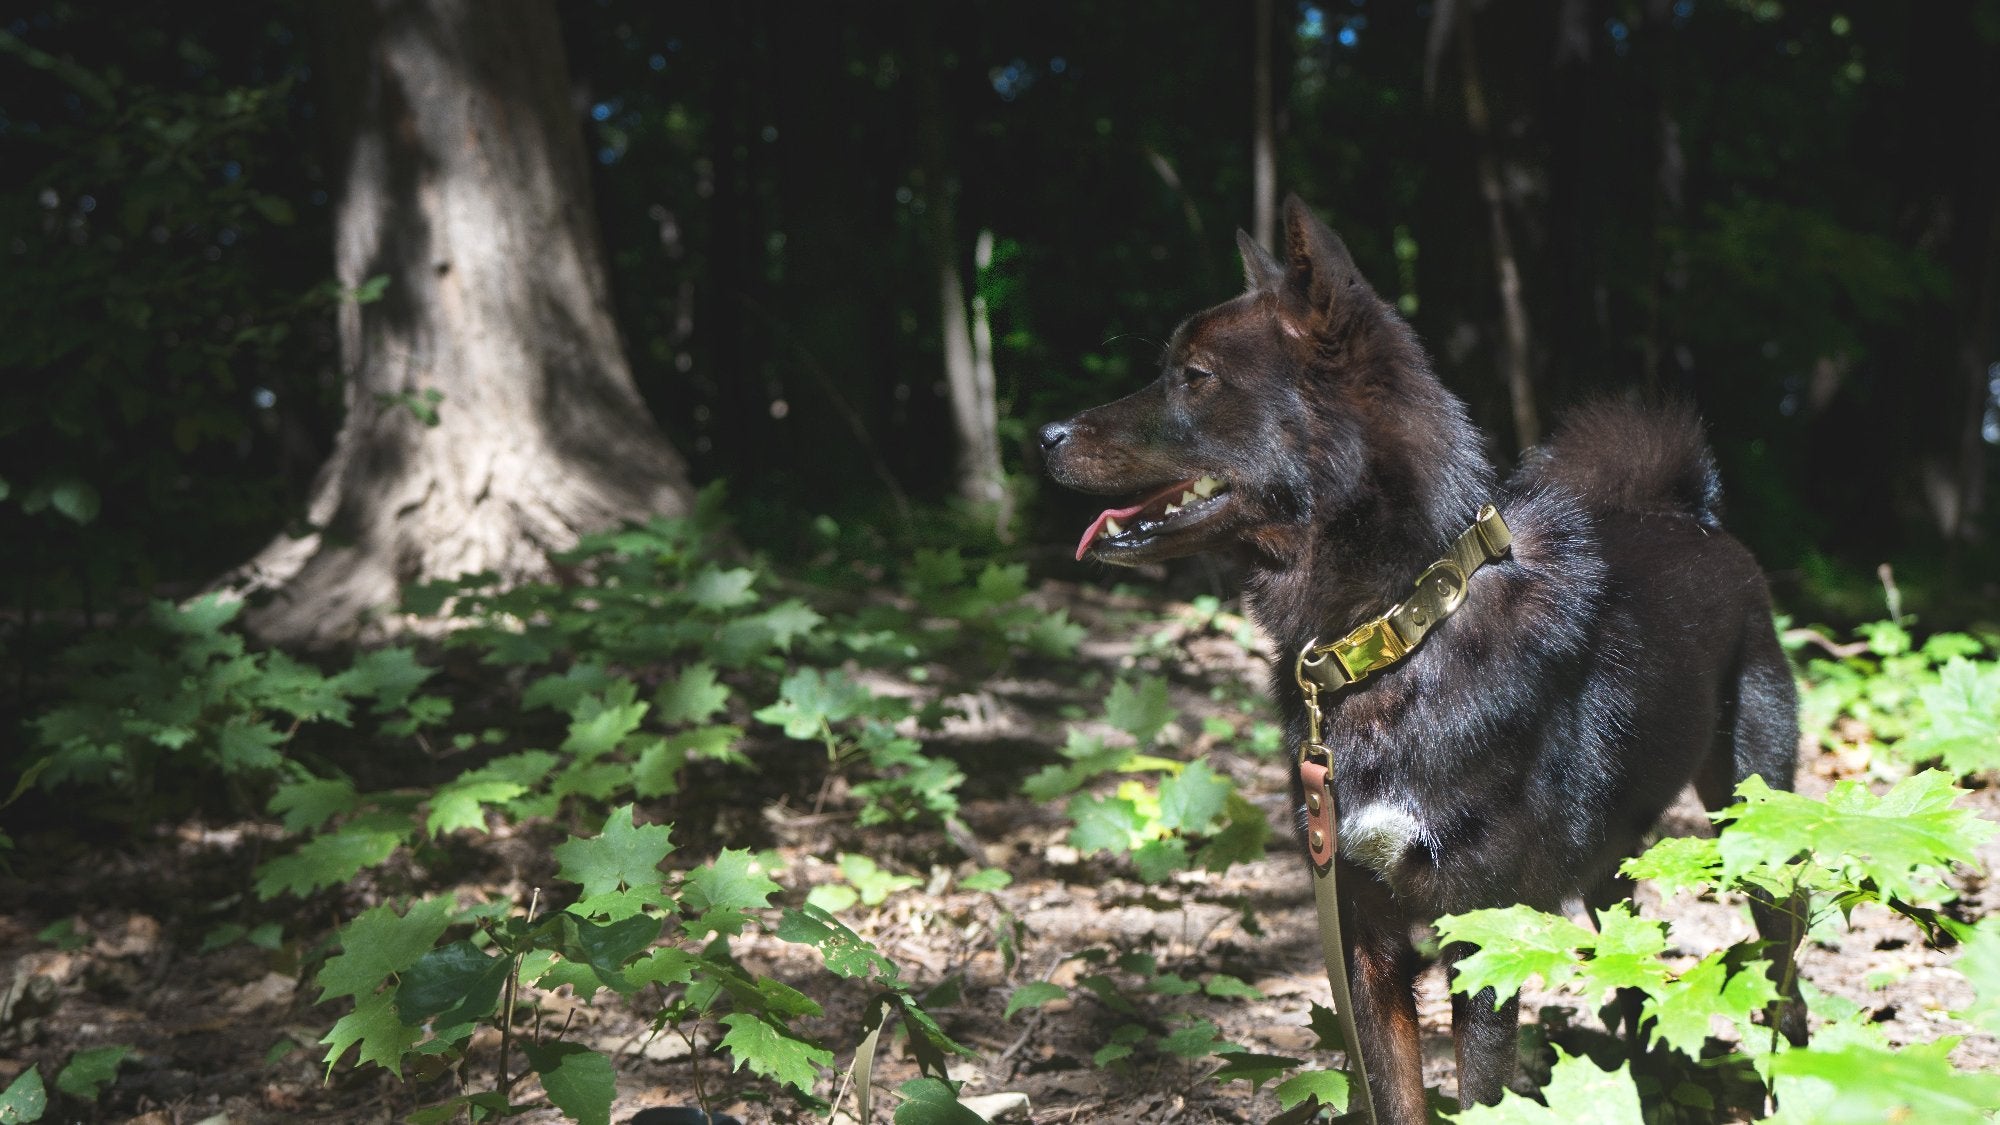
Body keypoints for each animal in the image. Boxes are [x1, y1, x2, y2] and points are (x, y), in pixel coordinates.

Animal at [1040, 197, 1808, 1112]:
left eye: (1193, 375)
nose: (1045, 433)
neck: (1397, 632)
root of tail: (1698, 518)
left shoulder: (1484, 935)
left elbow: (1480, 1094)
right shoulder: (1363, 929)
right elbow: (1395, 1093)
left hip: (1757, 826)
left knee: (1788, 977)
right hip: (1612, 858)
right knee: (1633, 965)